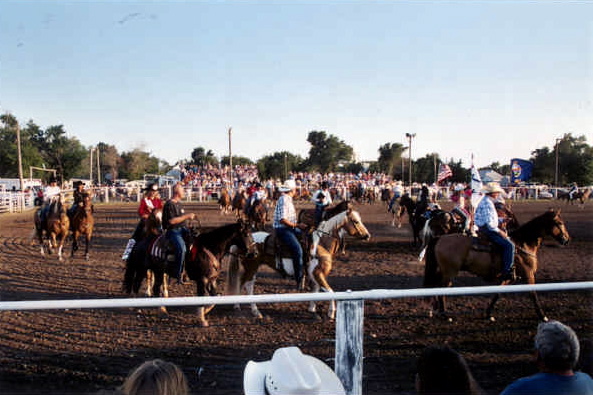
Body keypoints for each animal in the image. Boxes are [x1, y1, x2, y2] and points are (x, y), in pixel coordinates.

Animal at [227, 209, 370, 320]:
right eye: (356, 221)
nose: (367, 236)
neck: (320, 244)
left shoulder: (314, 275)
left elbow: (316, 290)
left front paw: (312, 310)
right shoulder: (317, 273)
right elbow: (330, 291)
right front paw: (331, 313)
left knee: (243, 283)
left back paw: (237, 305)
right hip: (252, 267)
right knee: (248, 285)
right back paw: (255, 311)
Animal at [424, 209, 572, 324]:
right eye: (560, 223)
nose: (567, 240)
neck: (523, 243)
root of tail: (440, 238)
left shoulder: (508, 277)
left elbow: (498, 293)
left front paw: (489, 314)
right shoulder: (528, 274)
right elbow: (533, 294)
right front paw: (543, 316)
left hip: (444, 271)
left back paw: (435, 311)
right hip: (450, 272)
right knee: (442, 289)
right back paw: (444, 315)